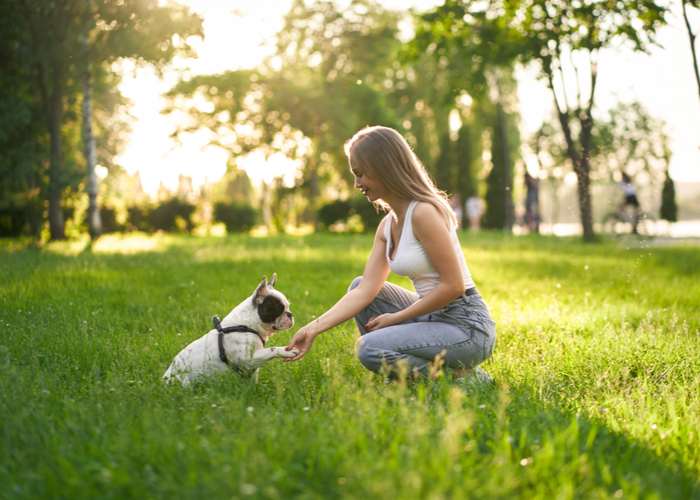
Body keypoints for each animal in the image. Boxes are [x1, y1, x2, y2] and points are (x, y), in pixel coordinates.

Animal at [164, 274, 298, 386]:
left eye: (288, 307)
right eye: (278, 309)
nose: (290, 314)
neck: (247, 325)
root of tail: (164, 380)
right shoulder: (248, 359)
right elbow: (272, 349)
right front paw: (287, 351)